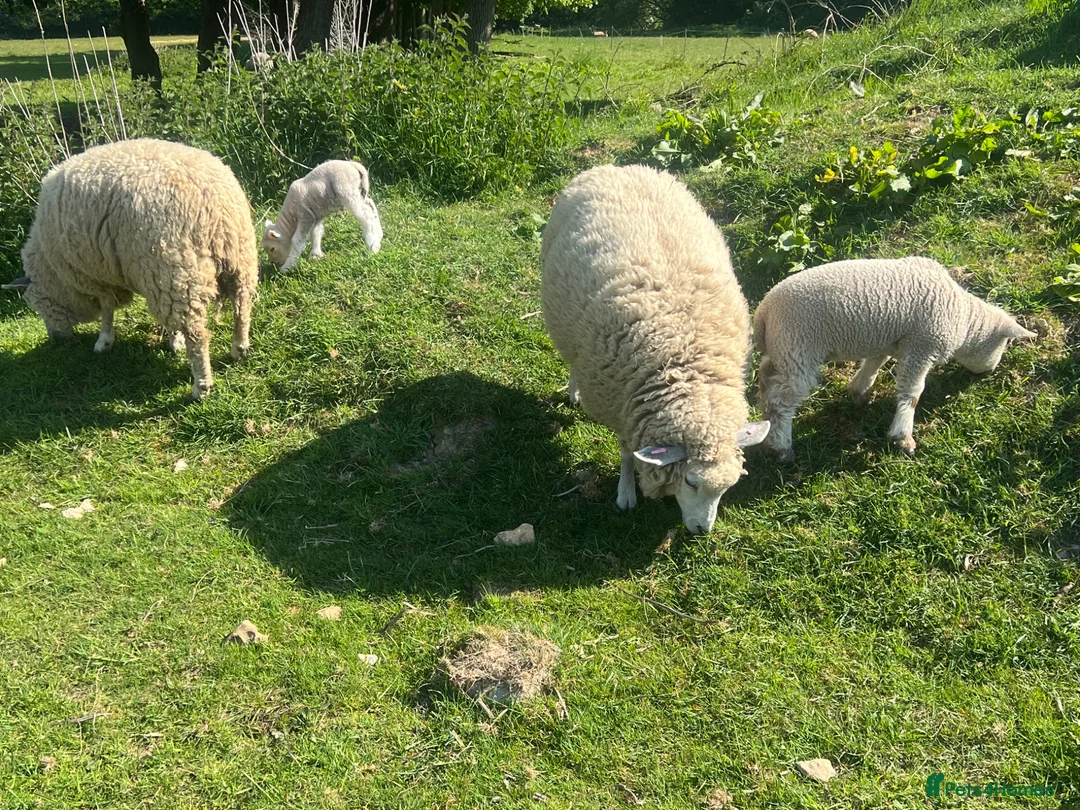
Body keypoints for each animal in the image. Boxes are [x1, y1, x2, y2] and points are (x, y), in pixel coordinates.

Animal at [8, 138, 258, 400]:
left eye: (37, 307)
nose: (54, 340)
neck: (55, 270)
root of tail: (213, 201)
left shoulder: (98, 275)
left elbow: (107, 308)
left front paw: (104, 341)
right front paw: (174, 340)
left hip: (176, 267)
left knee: (197, 335)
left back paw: (201, 386)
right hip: (237, 260)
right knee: (242, 307)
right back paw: (239, 349)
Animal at [541, 164, 770, 535]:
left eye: (729, 486)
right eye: (691, 481)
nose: (702, 531)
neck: (685, 364)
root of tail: (616, 168)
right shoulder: (620, 404)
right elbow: (625, 452)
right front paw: (626, 493)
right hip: (567, 326)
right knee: (573, 361)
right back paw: (574, 391)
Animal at [753, 256, 1035, 458]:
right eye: (1005, 344)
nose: (990, 371)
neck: (964, 320)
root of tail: (764, 311)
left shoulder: (889, 340)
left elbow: (874, 364)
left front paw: (859, 392)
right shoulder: (922, 345)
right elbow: (912, 391)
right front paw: (902, 437)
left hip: (783, 350)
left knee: (767, 381)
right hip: (798, 348)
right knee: (781, 401)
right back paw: (781, 448)